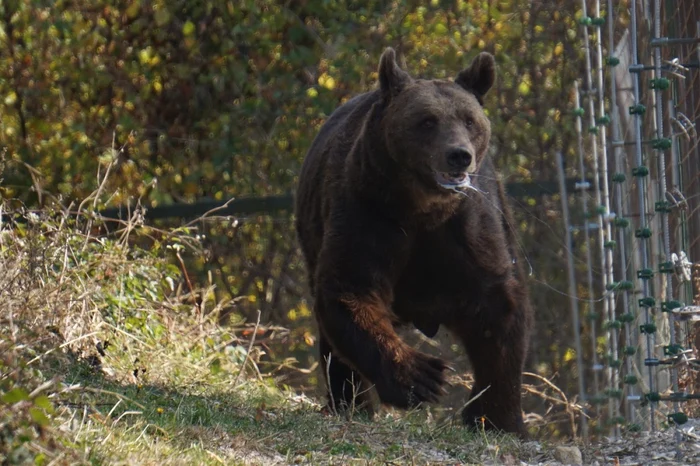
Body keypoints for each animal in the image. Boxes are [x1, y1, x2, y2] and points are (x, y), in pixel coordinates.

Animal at [294, 48, 532, 436]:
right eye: (427, 120)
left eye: (469, 120)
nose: (459, 154)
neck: (423, 208)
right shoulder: (368, 212)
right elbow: (352, 288)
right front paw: (422, 378)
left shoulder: (468, 228)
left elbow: (498, 306)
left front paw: (499, 418)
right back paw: (350, 403)